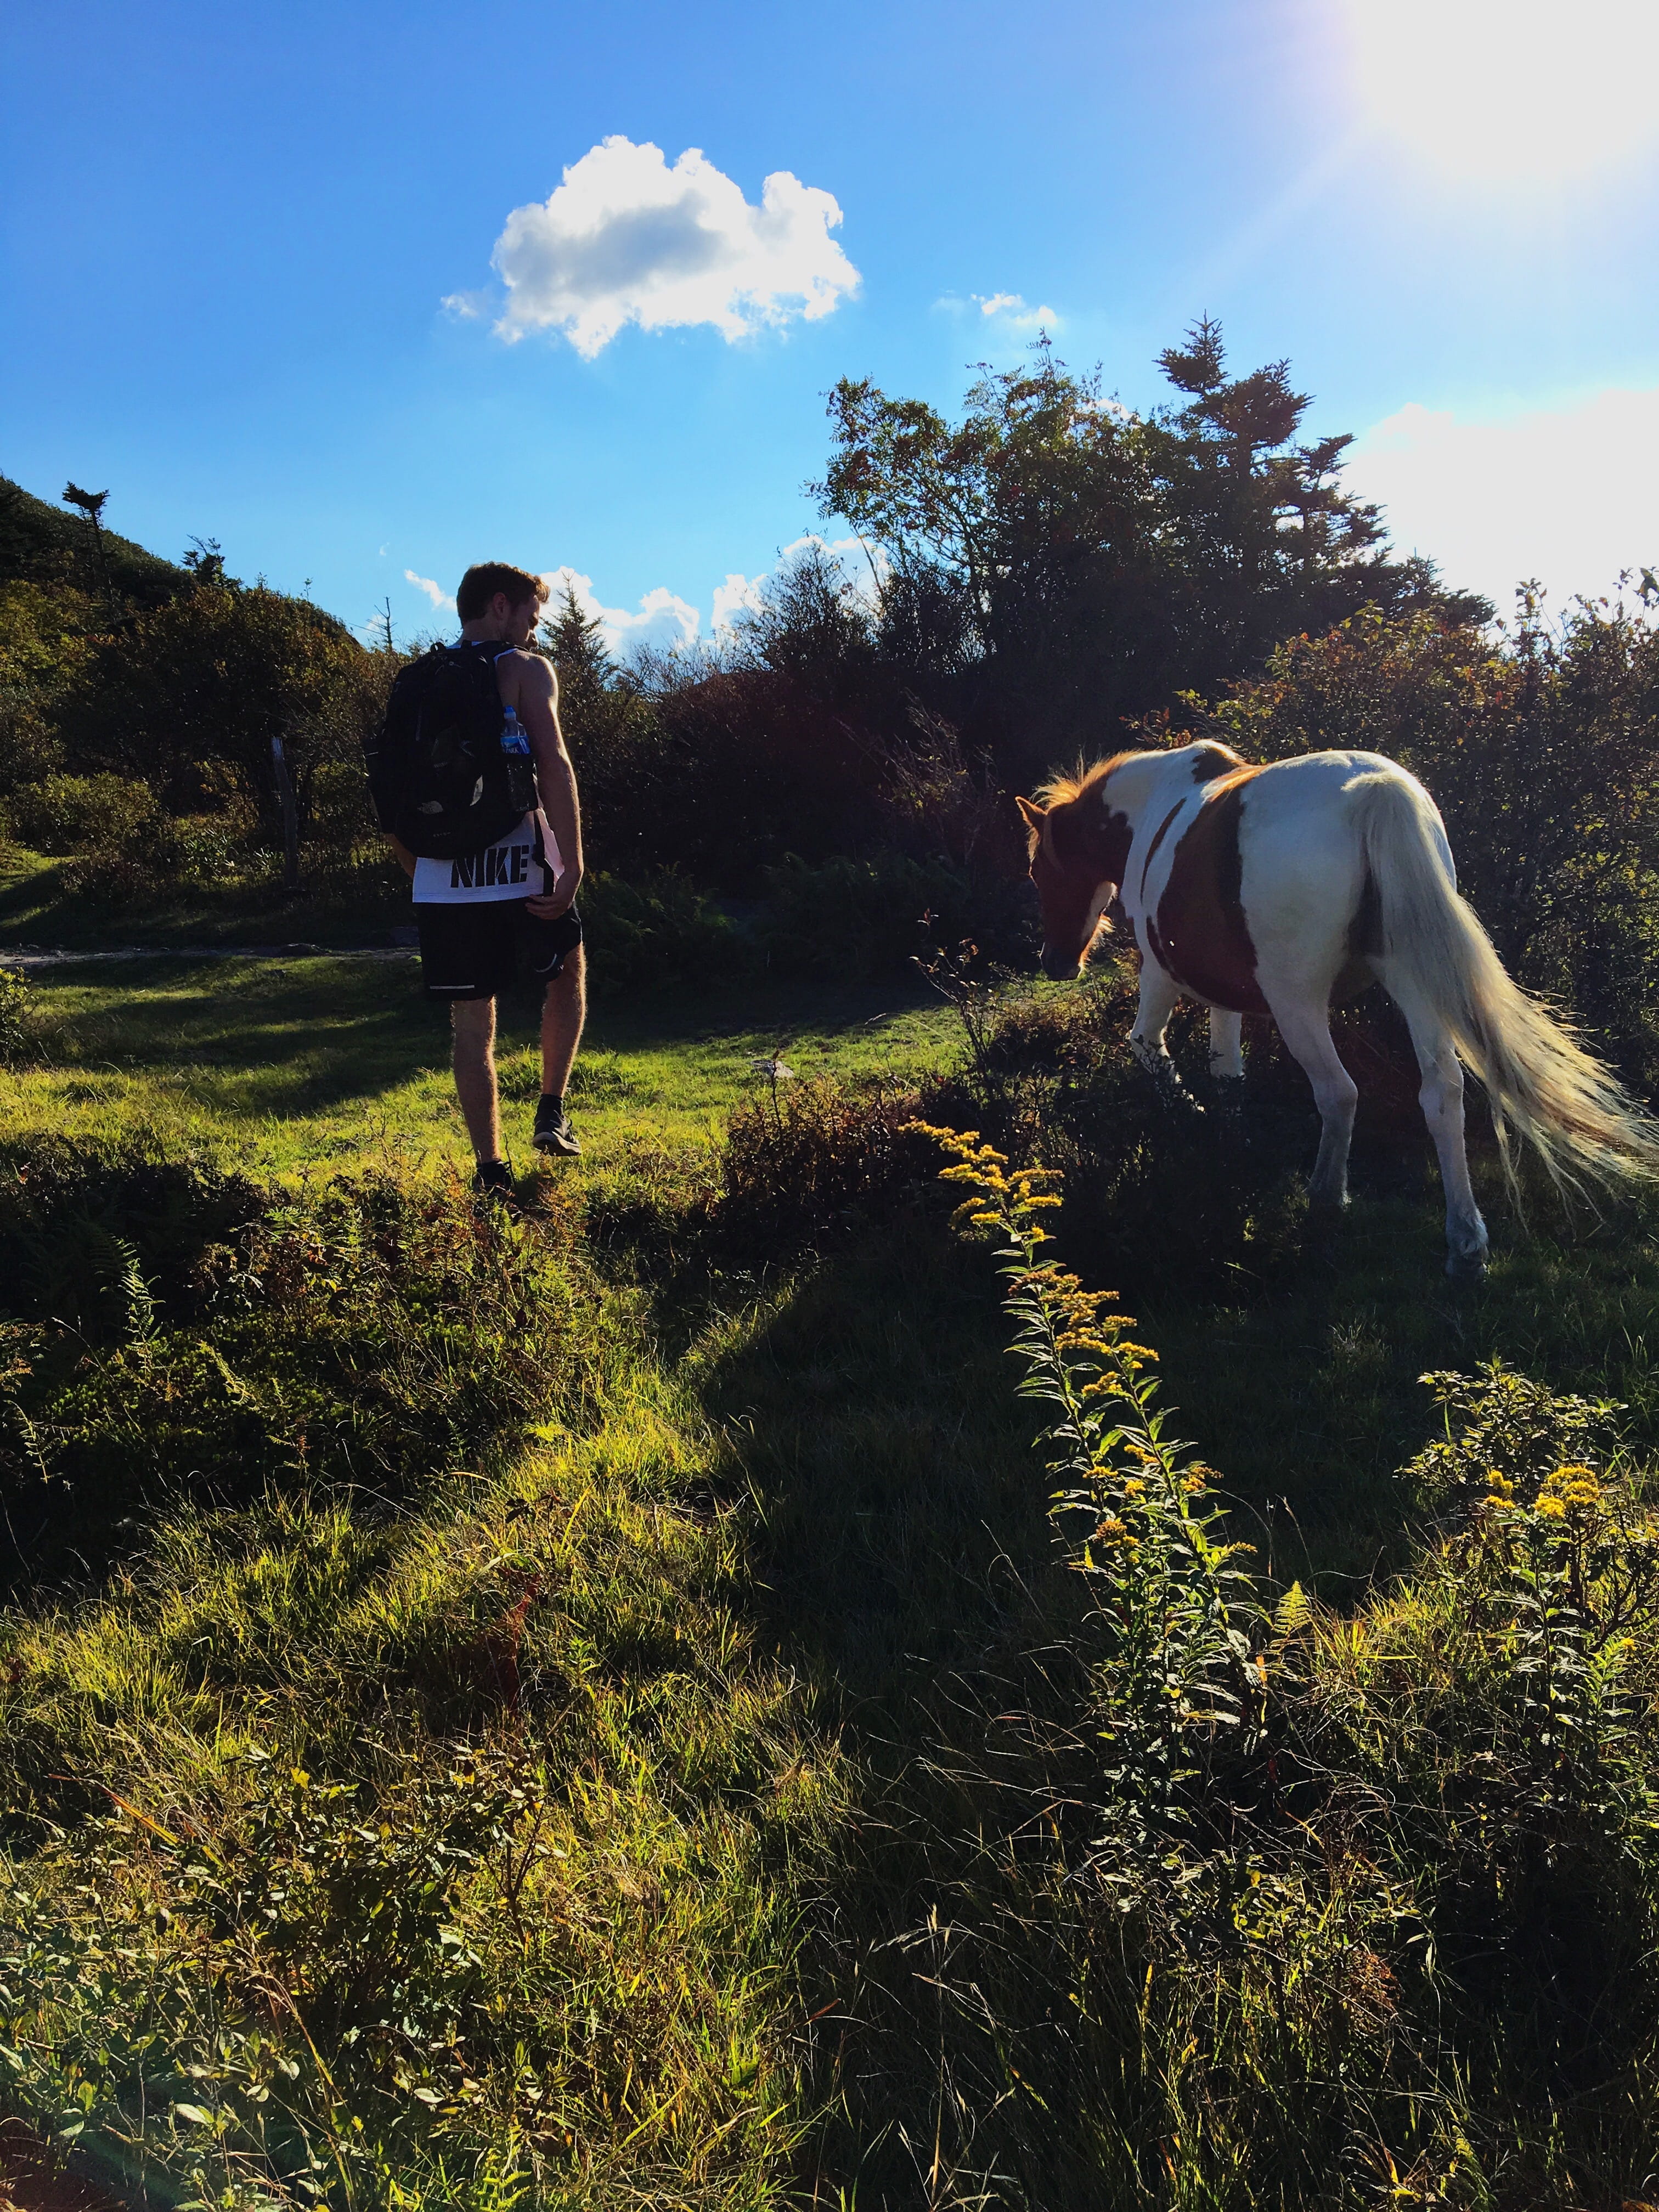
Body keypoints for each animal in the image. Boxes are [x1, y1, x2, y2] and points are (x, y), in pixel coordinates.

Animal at [1015, 741, 1659, 1276]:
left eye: (1037, 869)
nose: (1055, 962)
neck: (1153, 808)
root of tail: (1372, 791)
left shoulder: (1160, 975)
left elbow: (1150, 1050)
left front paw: (1195, 1124)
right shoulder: (1227, 995)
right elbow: (1228, 1074)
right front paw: (1228, 1143)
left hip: (1297, 1002)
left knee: (1339, 1092)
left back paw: (1327, 1198)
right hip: (1412, 982)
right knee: (1442, 1094)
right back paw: (1465, 1243)